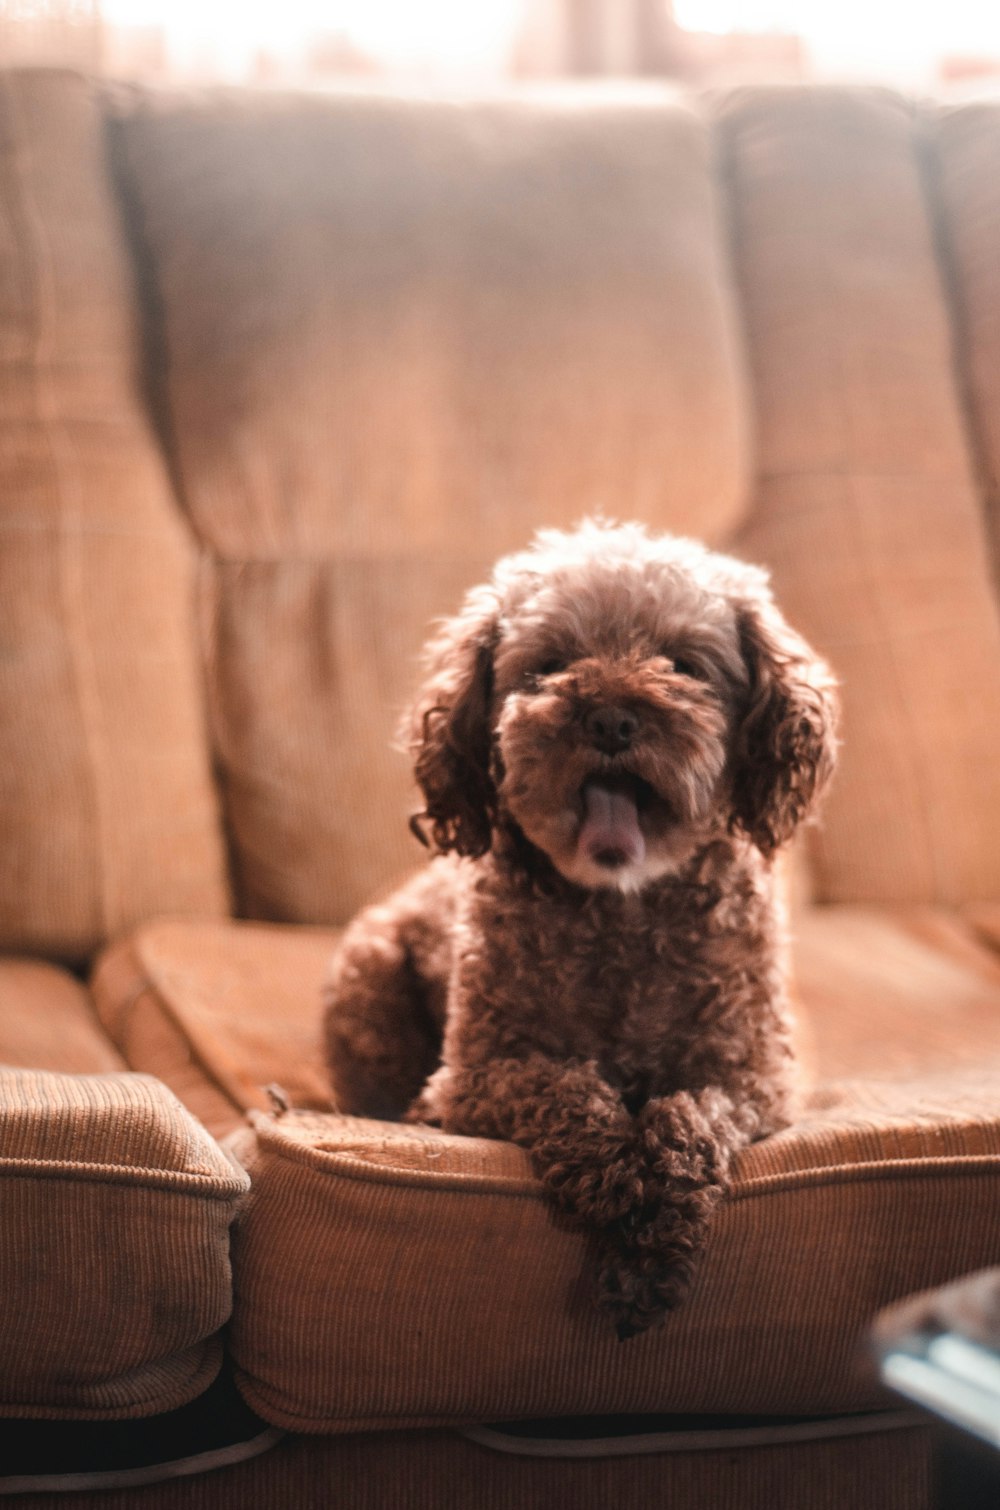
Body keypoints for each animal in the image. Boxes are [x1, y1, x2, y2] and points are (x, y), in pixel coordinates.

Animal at [324, 516, 839, 1334]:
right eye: (549, 666)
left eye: (682, 665)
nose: (611, 717)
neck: (621, 913)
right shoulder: (476, 1076)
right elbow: (565, 1088)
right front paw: (609, 1171)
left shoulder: (752, 1077)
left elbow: (689, 1123)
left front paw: (650, 1244)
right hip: (366, 974)